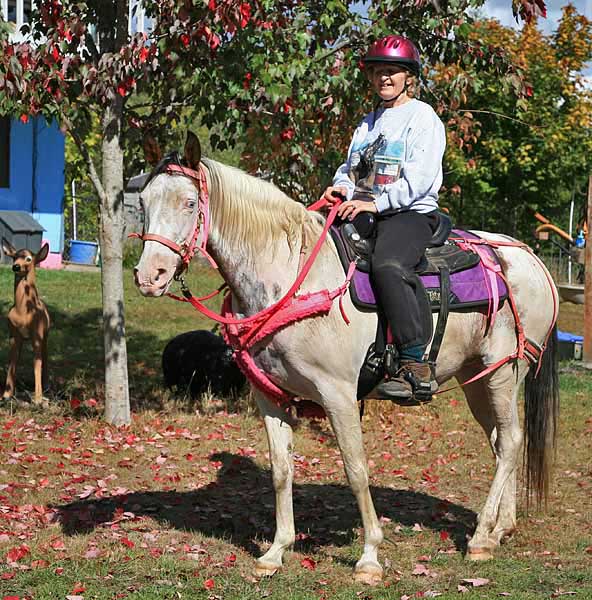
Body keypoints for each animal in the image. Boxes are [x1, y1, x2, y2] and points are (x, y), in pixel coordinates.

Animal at [133, 132, 560, 584]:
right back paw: (499, 528)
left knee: (511, 441)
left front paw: (370, 556)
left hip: (505, 373)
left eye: (189, 203)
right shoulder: (270, 397)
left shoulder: (338, 395)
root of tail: (528, 257)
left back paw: (480, 538)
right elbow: (281, 470)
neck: (292, 274)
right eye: (142, 201)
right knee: (500, 441)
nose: (149, 277)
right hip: (475, 377)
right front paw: (276, 551)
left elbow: (356, 470)